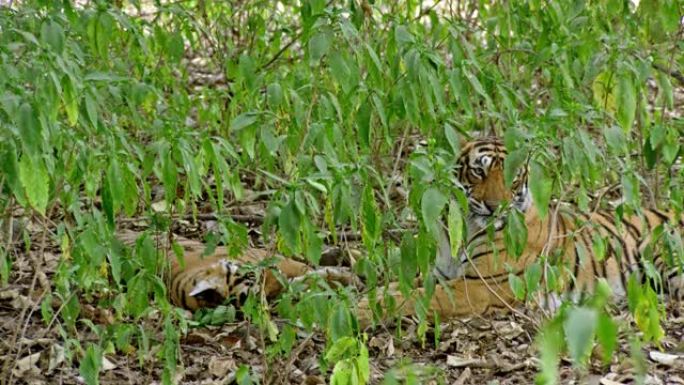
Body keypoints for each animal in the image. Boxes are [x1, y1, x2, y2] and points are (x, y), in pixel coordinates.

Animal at [358, 136, 684, 324]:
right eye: (479, 170)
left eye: (513, 177)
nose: (494, 207)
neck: (466, 226)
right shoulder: (441, 274)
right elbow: (398, 287)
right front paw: (361, 298)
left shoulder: (479, 286)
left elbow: (416, 298)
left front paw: (361, 313)